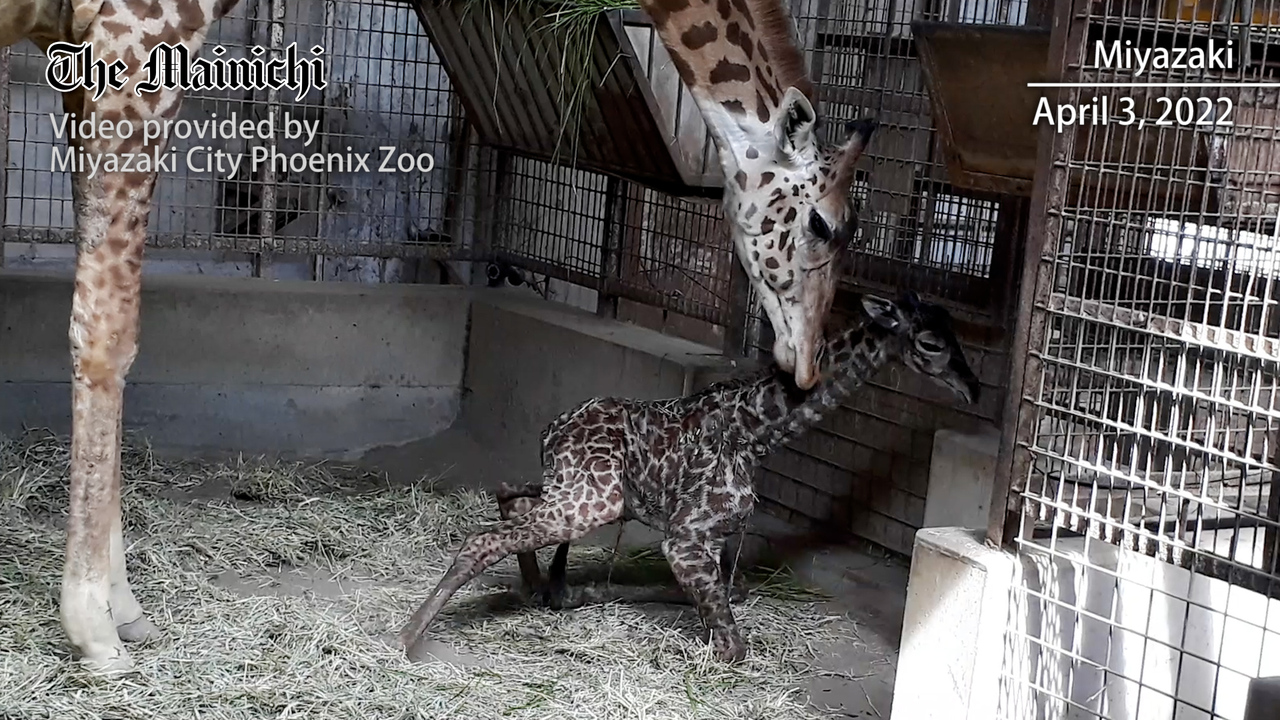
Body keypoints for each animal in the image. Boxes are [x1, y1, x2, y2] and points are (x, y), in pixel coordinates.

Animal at [398, 291, 980, 663]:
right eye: (930, 343)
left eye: (958, 335)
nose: (973, 389)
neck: (758, 431)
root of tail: (552, 430)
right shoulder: (685, 535)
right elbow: (733, 646)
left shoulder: (719, 536)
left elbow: (730, 592)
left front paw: (583, 591)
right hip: (593, 500)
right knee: (482, 538)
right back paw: (406, 637)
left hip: (581, 490)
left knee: (508, 495)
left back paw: (541, 587)